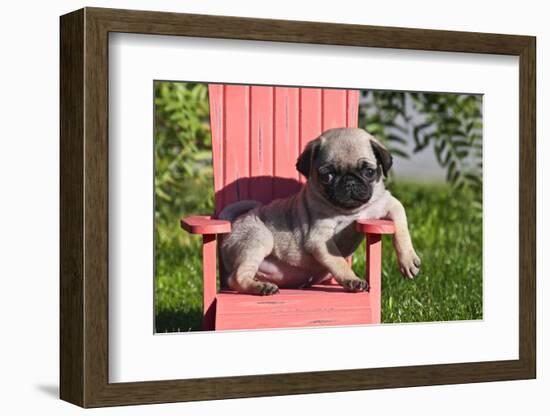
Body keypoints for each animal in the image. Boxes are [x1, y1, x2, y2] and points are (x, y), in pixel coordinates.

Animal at [218, 128, 420, 294]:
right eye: (328, 176)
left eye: (369, 172)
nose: (349, 182)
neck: (350, 212)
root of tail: (233, 225)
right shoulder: (319, 239)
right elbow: (338, 260)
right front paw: (351, 279)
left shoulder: (388, 203)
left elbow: (401, 225)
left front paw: (407, 259)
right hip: (258, 238)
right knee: (236, 278)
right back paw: (260, 287)